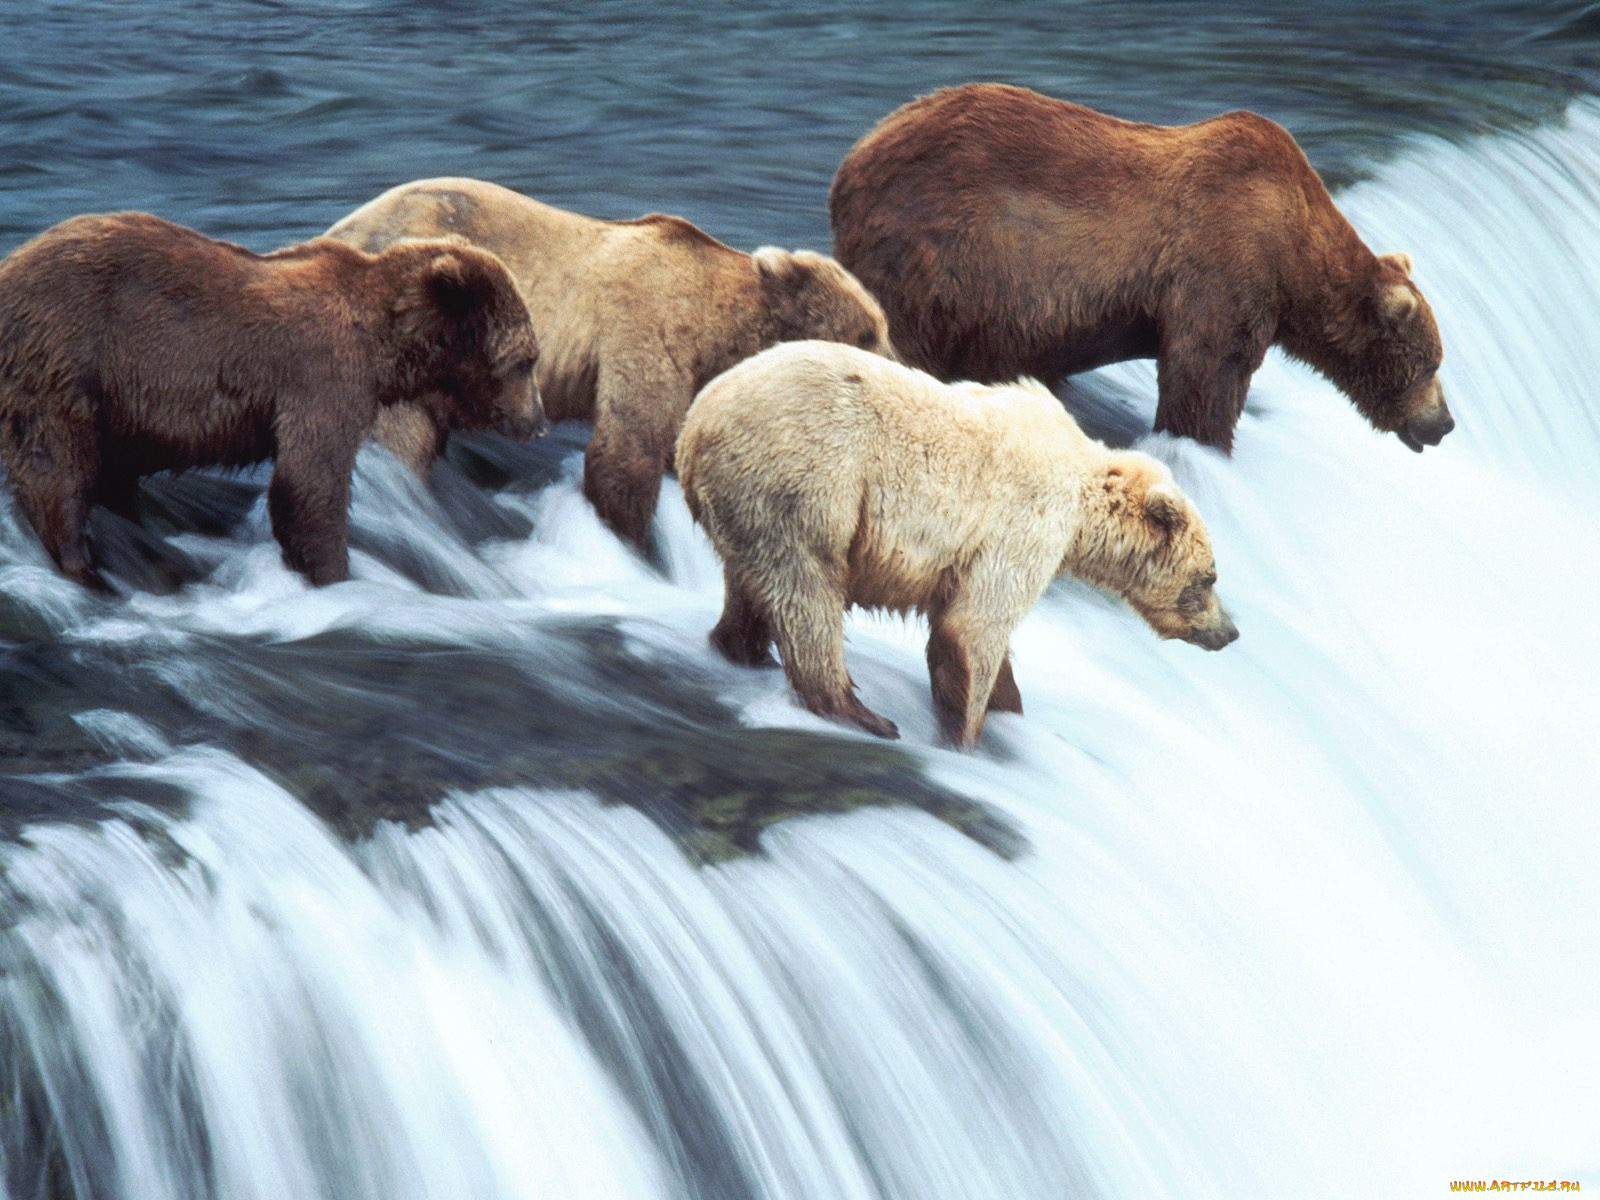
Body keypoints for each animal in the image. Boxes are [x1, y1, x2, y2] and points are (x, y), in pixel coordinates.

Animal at [0, 211, 544, 591]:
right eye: (525, 360)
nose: (537, 423)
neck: (384, 341)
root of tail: (13, 262)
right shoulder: (323, 378)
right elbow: (308, 485)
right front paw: (333, 574)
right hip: (64, 359)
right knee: (57, 467)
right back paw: (82, 566)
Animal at [325, 178, 895, 548]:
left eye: (882, 325)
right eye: (866, 333)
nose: (901, 369)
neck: (721, 331)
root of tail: (337, 230)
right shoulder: (648, 332)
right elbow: (627, 450)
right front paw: (630, 539)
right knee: (404, 435)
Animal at [676, 340, 1238, 749]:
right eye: (1208, 577)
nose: (1229, 632)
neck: (1083, 505)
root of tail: (694, 426)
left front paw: (1009, 705)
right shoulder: (1022, 526)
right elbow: (974, 627)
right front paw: (965, 735)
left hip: (748, 506)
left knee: (753, 585)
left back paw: (742, 649)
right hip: (807, 485)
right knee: (808, 594)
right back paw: (861, 713)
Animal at [829, 83, 1454, 454]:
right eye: (1429, 363)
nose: (1445, 422)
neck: (1293, 252)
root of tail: (854, 156)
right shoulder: (1222, 260)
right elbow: (1207, 373)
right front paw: (1206, 440)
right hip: (938, 251)